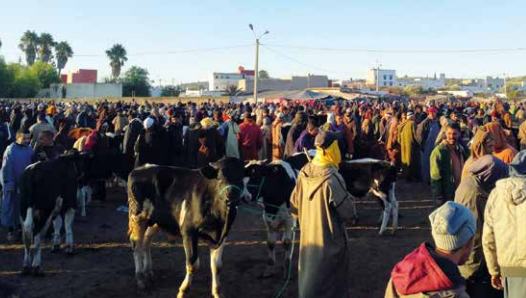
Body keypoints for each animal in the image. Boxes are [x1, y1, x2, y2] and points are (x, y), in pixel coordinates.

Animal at [129, 157, 251, 296]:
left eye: (241, 178)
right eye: (219, 178)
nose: (231, 200)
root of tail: (140, 168)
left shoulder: (222, 236)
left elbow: (217, 266)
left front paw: (217, 292)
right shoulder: (188, 232)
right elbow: (192, 264)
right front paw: (183, 290)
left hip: (154, 222)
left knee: (146, 242)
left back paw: (148, 273)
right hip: (137, 219)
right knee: (136, 246)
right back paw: (141, 279)